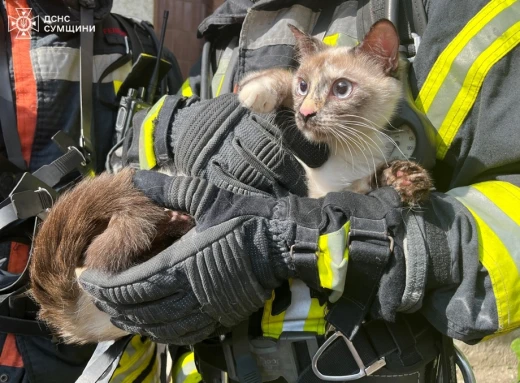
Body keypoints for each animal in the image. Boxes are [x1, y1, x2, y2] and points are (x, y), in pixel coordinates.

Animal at [240, 19, 430, 204]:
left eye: (341, 88)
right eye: (302, 86)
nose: (305, 113)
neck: (348, 146)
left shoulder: (328, 194)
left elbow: (361, 188)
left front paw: (406, 179)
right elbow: (283, 76)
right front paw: (252, 91)